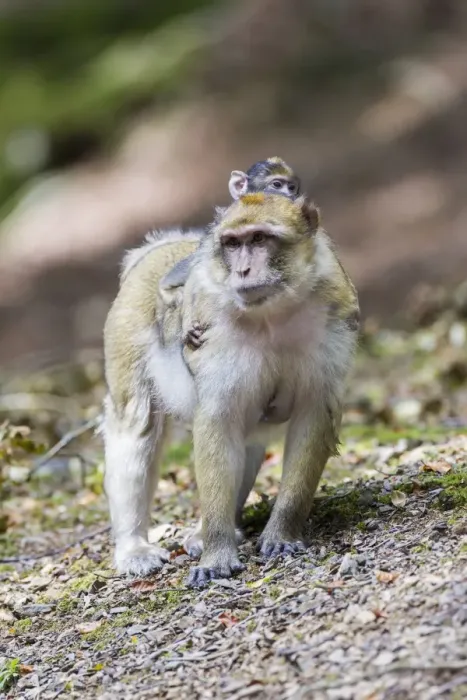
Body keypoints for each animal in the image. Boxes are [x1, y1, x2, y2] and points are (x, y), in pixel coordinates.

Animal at [103, 191, 359, 588]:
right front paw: (218, 551)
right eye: (233, 244)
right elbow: (219, 424)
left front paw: (282, 532)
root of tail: (164, 247)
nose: (242, 271)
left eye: (259, 239)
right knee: (136, 423)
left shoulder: (334, 316)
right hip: (126, 328)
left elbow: (313, 416)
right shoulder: (215, 337)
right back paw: (135, 547)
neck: (273, 314)